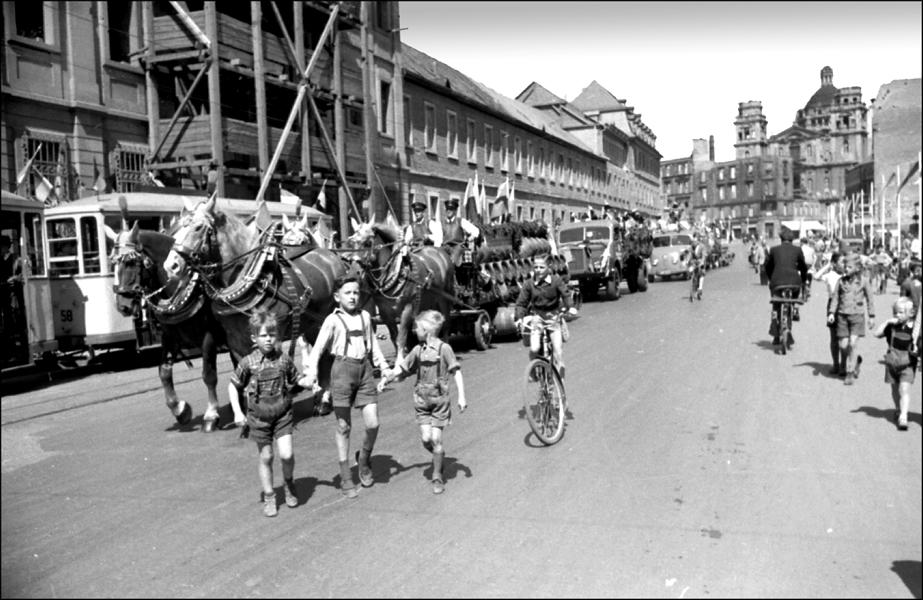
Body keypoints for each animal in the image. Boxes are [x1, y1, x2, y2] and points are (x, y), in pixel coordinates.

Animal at [108, 220, 229, 432]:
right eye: (113, 263)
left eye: (130, 262)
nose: (122, 306)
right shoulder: (170, 337)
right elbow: (163, 372)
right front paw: (179, 409)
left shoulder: (209, 336)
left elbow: (209, 374)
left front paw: (211, 414)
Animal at [346, 218, 454, 364]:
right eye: (351, 242)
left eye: (368, 243)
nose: (353, 273)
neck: (397, 273)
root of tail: (440, 251)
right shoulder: (385, 313)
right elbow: (394, 337)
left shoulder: (407, 309)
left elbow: (401, 337)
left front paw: (399, 362)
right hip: (427, 301)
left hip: (444, 299)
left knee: (446, 324)